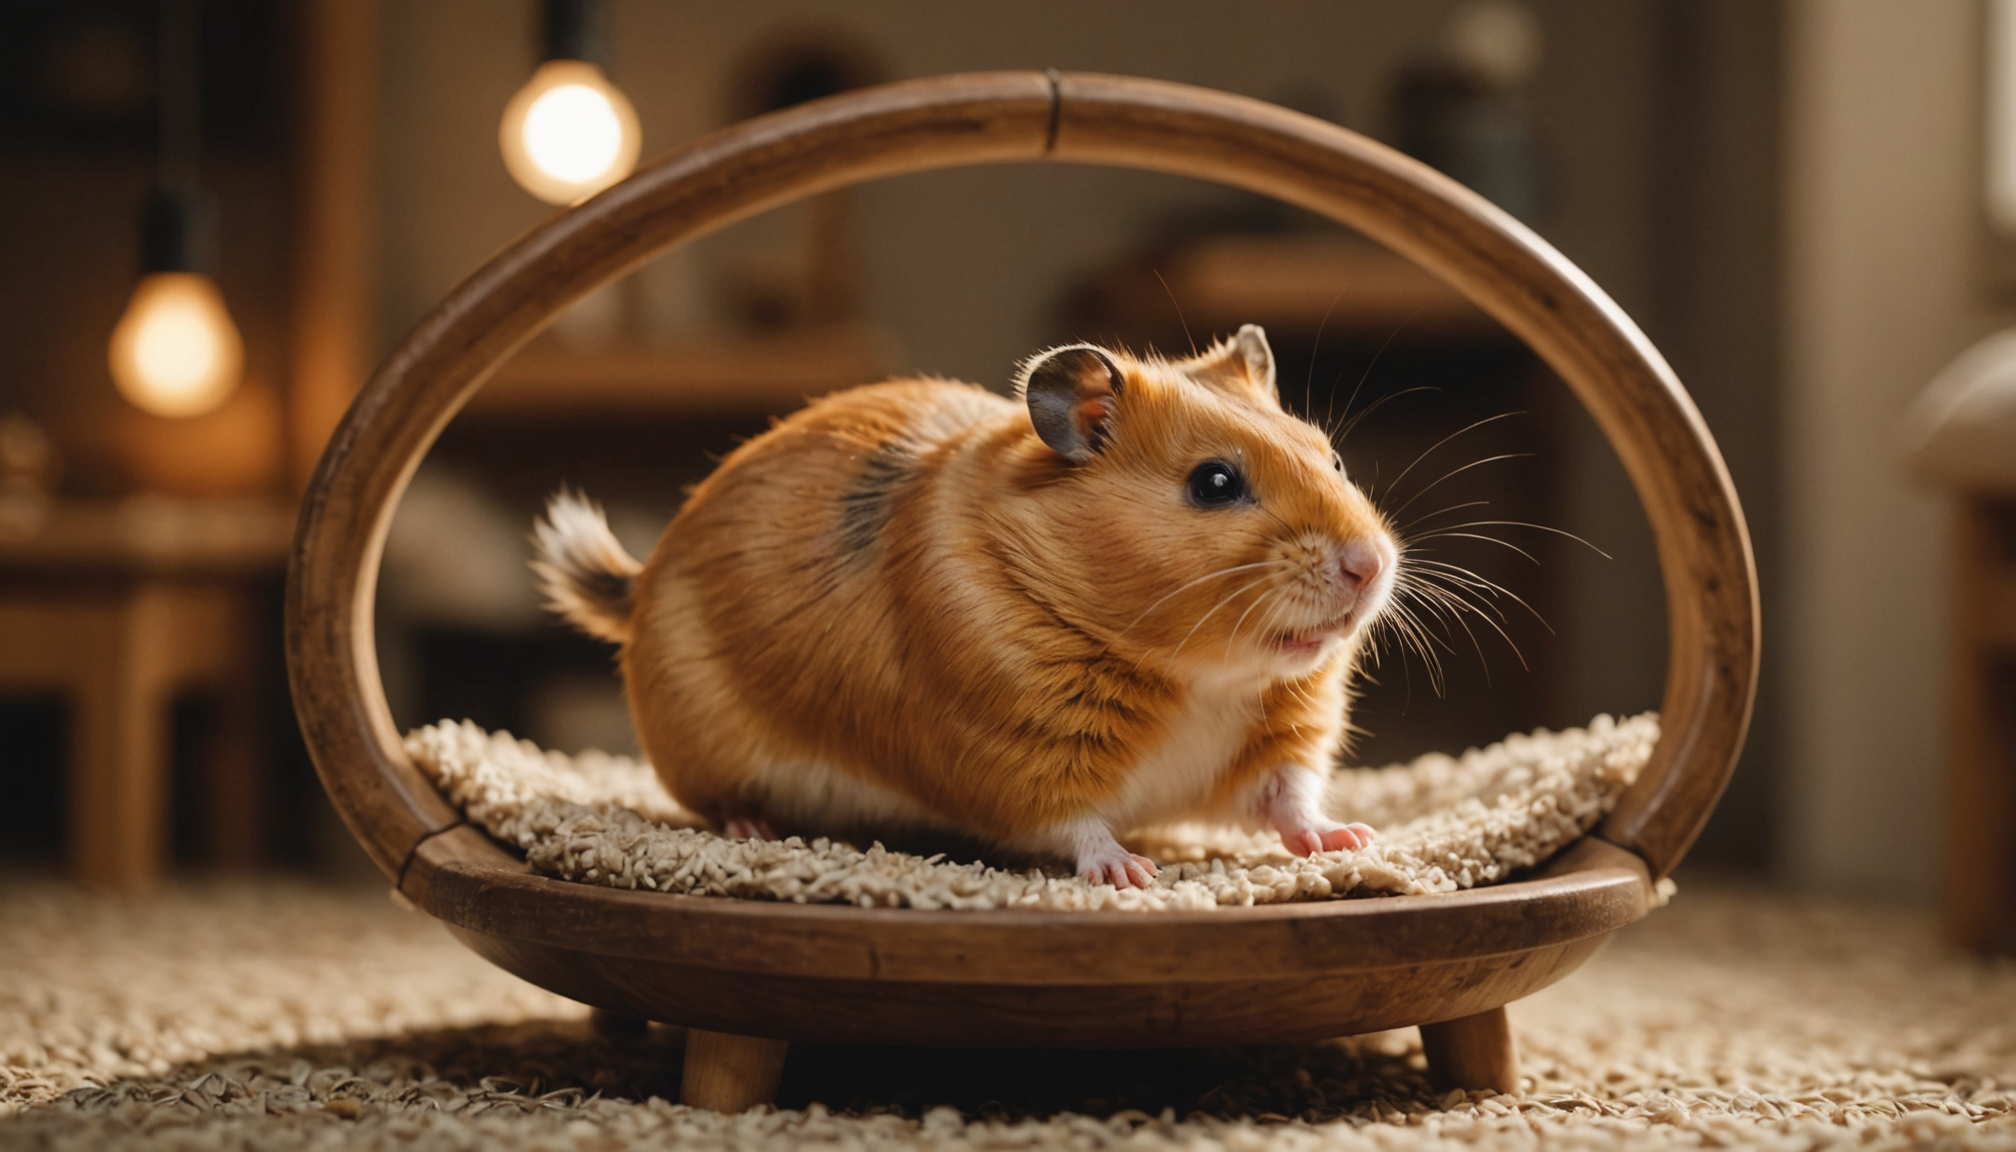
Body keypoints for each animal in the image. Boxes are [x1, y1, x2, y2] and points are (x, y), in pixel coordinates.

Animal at [532, 324, 1398, 889]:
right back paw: (757, 827)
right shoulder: (1016, 758)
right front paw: (1130, 873)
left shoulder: (1280, 741)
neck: (1197, 675)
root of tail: (641, 586)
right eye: (1213, 483)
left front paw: (1351, 838)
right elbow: (1075, 825)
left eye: (1332, 457)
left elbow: (1291, 799)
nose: (1371, 565)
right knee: (713, 803)